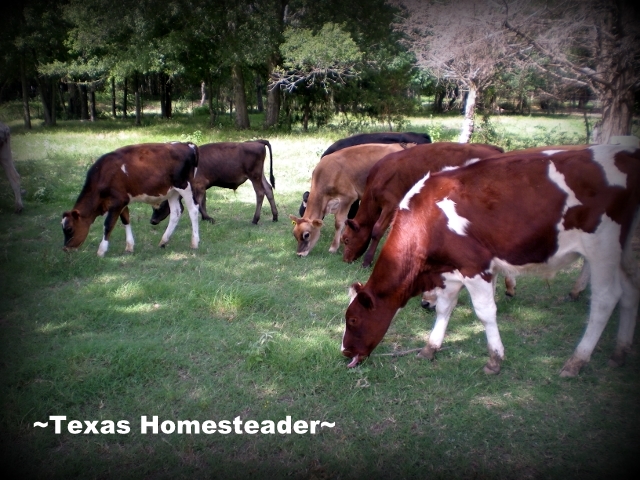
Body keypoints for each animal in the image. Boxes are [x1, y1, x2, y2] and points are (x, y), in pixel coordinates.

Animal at [62, 142, 200, 256]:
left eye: (69, 229)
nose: (66, 249)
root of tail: (187, 144)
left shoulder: (118, 202)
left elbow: (108, 224)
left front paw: (101, 250)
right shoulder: (122, 201)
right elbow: (126, 220)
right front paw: (129, 246)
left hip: (184, 186)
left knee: (193, 211)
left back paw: (194, 243)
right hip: (172, 192)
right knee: (176, 213)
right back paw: (163, 241)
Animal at [152, 140, 280, 226]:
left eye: (160, 205)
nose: (152, 220)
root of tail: (256, 141)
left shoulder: (199, 186)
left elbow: (198, 203)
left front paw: (208, 218)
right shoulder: (202, 188)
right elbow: (203, 202)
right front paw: (205, 218)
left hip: (254, 176)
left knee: (260, 193)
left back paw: (255, 219)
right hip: (260, 175)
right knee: (268, 189)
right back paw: (275, 216)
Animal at [342, 144, 640, 376]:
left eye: (353, 320)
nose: (345, 352)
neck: (425, 216)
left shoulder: (475, 267)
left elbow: (485, 313)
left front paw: (495, 359)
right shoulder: (451, 269)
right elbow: (444, 309)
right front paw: (430, 348)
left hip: (602, 248)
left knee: (605, 300)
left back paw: (576, 361)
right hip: (624, 253)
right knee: (629, 293)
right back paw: (620, 353)